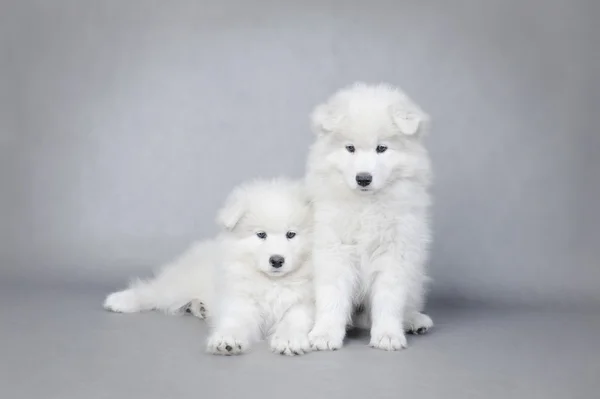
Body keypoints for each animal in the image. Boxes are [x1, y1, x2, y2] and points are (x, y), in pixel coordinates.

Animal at [103, 178, 314, 356]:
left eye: (291, 234)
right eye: (261, 235)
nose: (277, 260)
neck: (272, 282)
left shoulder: (305, 302)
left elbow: (295, 319)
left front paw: (289, 340)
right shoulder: (240, 299)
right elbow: (234, 320)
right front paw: (227, 339)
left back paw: (200, 308)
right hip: (179, 284)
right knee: (152, 291)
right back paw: (120, 300)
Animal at [308, 83, 434, 352]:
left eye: (381, 148)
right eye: (350, 148)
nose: (363, 178)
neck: (366, 206)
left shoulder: (395, 251)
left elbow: (389, 298)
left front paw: (388, 335)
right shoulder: (334, 249)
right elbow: (332, 296)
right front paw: (325, 334)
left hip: (414, 275)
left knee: (407, 303)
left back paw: (414, 320)